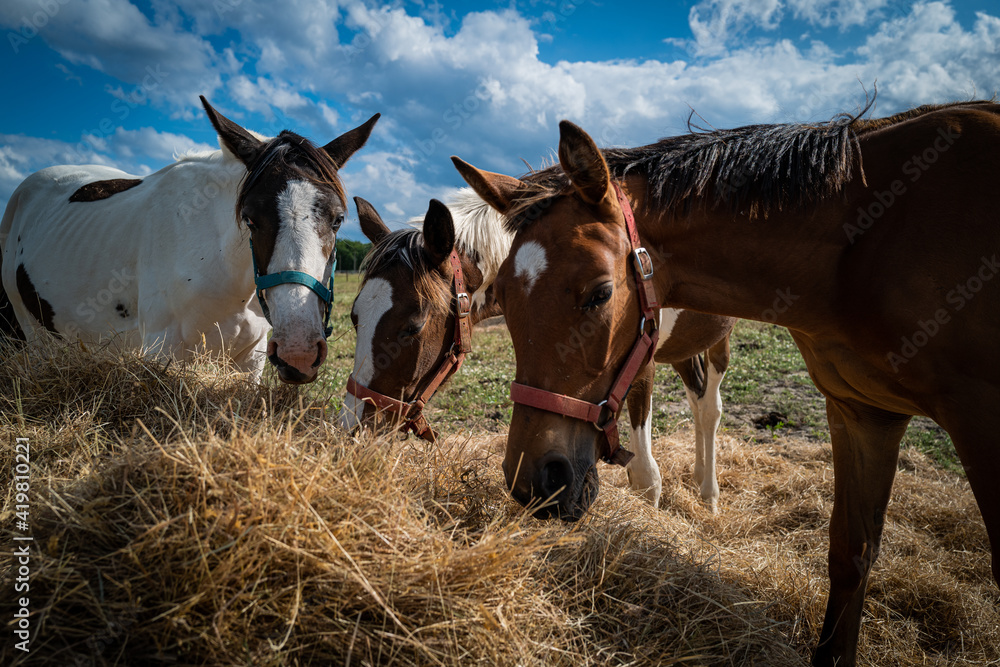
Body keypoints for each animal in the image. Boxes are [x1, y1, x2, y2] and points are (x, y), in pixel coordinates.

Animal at [0, 96, 376, 384]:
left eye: (338, 220)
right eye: (250, 219)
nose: (298, 352)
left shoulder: (251, 358)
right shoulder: (161, 350)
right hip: (33, 335)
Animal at [338, 185, 736, 508]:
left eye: (413, 327)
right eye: (355, 317)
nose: (352, 432)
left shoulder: (641, 364)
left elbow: (646, 478)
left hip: (719, 341)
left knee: (710, 408)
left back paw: (710, 495)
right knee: (696, 398)